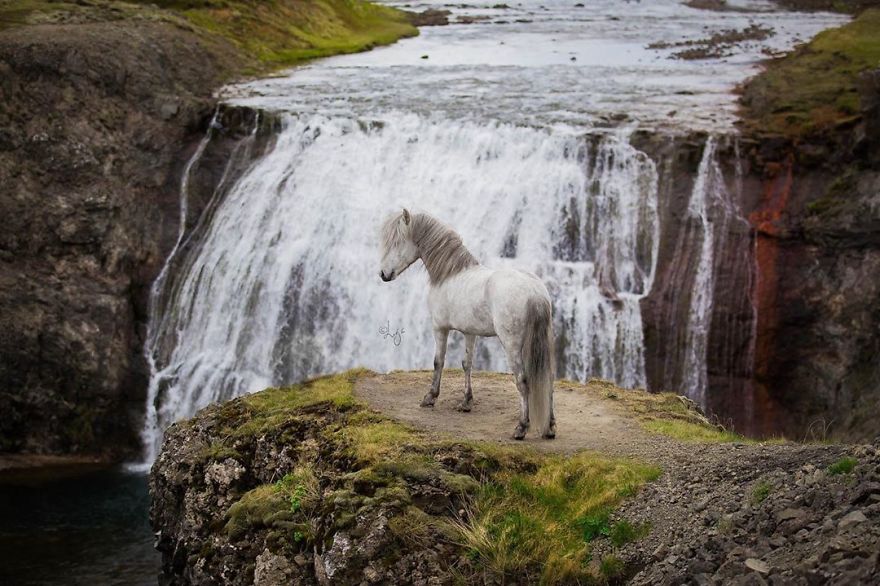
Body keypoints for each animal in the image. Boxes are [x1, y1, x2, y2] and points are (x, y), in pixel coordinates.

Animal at [379, 209, 556, 440]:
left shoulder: (440, 328)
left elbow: (438, 361)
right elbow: (467, 364)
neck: (450, 274)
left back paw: (521, 427)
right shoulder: (470, 333)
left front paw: (430, 397)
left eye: (397, 242)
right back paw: (550, 428)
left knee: (522, 381)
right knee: (549, 379)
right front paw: (466, 402)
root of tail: (534, 292)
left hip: (512, 345)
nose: (383, 274)